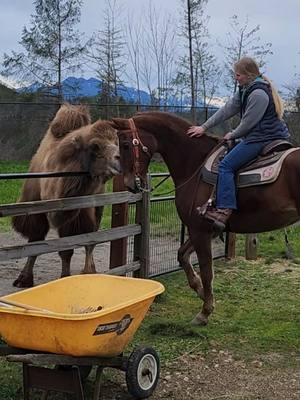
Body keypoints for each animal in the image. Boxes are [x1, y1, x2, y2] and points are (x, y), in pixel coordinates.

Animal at [12, 103, 120, 288]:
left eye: (116, 142)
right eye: (95, 146)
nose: (120, 160)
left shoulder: (75, 214)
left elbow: (68, 249)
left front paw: (65, 278)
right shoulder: (37, 212)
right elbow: (34, 244)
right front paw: (23, 279)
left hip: (97, 207)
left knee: (91, 240)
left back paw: (90, 271)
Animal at [112, 111, 300, 324]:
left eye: (125, 144)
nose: (129, 184)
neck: (195, 163)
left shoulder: (199, 231)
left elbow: (207, 270)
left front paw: (205, 311)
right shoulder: (205, 230)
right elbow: (182, 255)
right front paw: (202, 293)